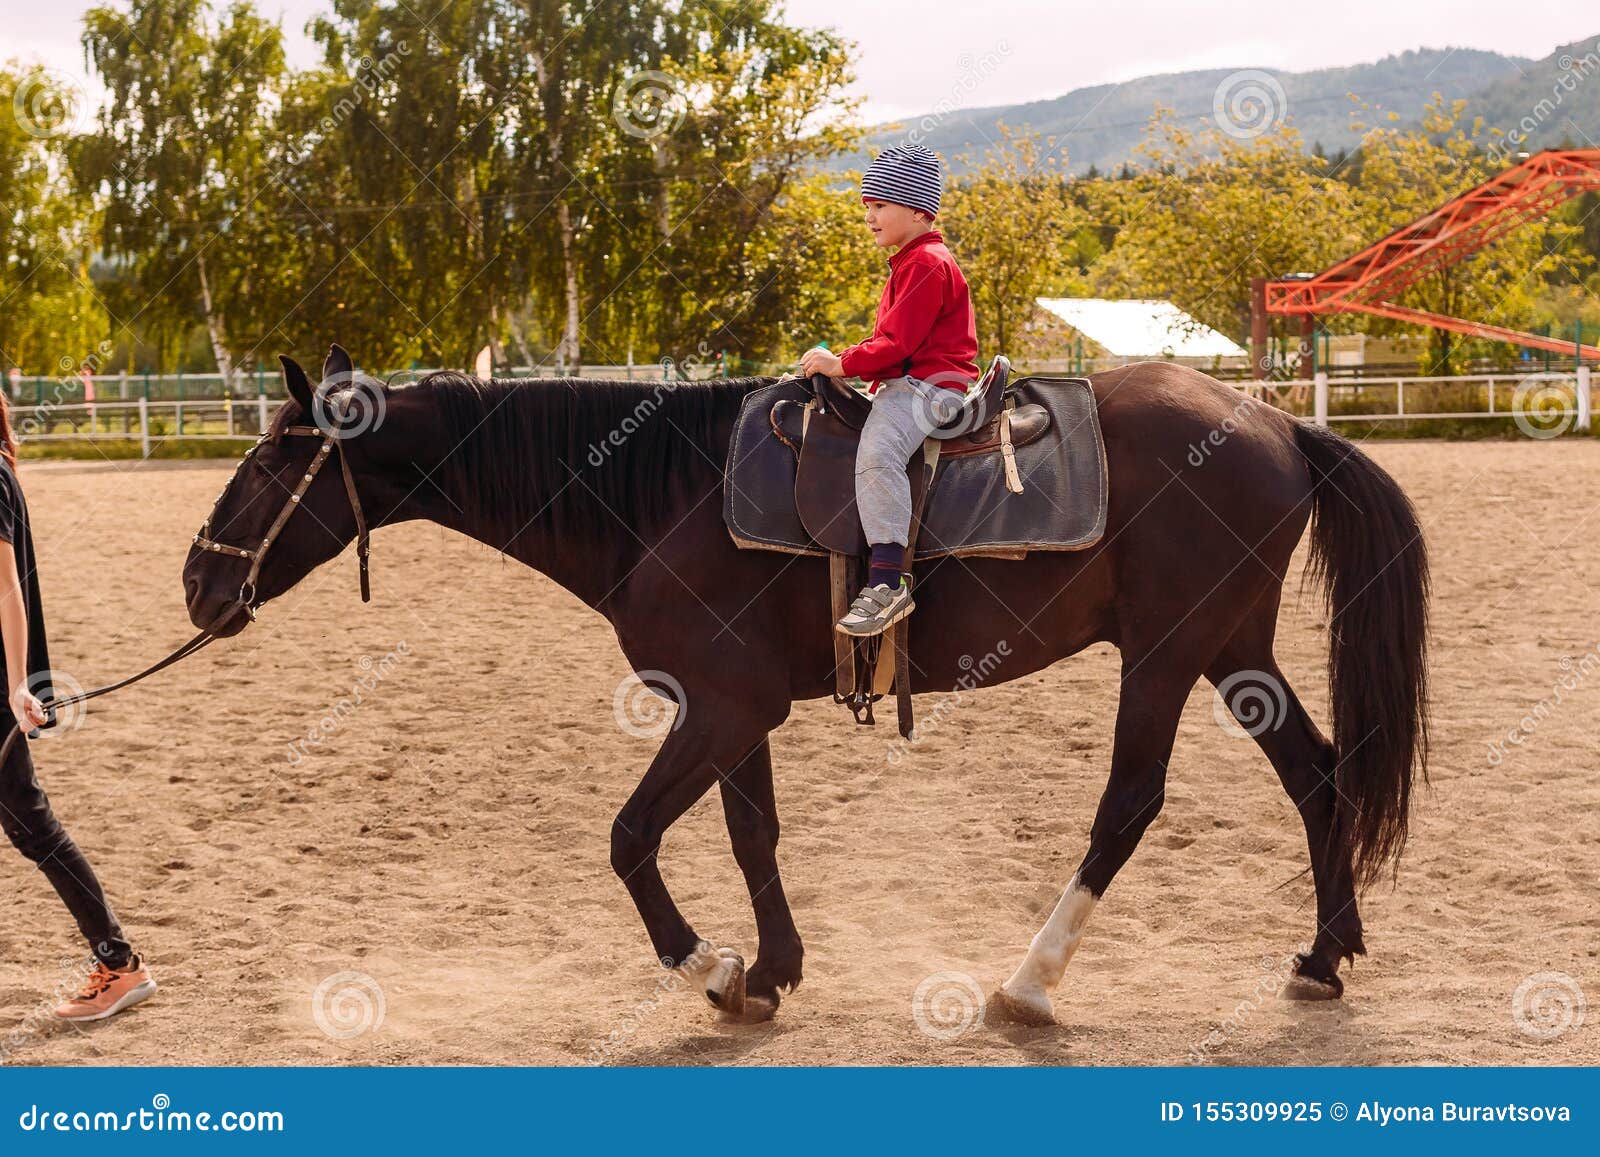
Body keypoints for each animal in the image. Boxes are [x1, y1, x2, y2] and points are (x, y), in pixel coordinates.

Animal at [182, 344, 1428, 1026]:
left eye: (271, 459)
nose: (199, 580)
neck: (658, 490)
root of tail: (1274, 421)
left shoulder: (722, 705)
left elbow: (629, 835)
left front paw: (709, 963)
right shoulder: (736, 709)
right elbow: (752, 833)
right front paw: (772, 967)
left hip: (1166, 656)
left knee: (1128, 804)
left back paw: (1029, 981)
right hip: (1231, 650)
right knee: (1318, 777)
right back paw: (1323, 952)